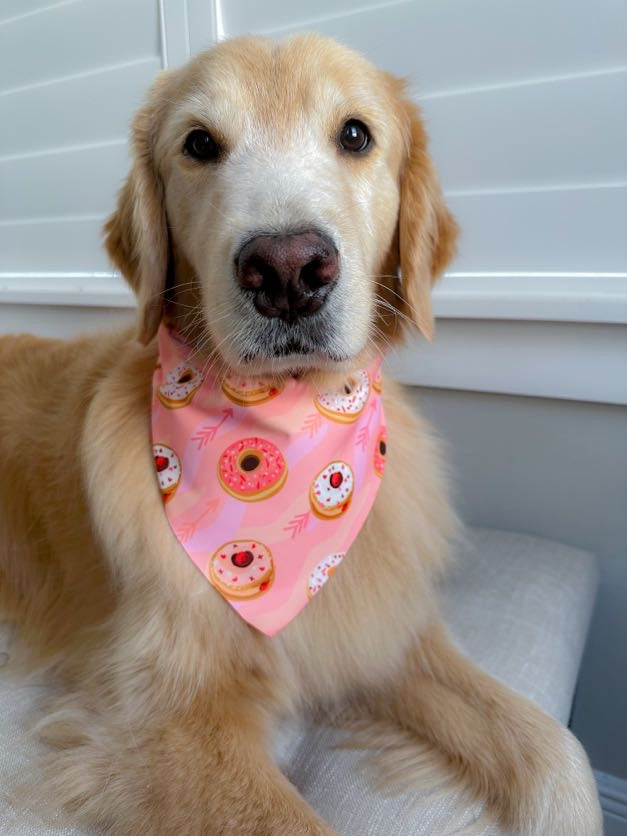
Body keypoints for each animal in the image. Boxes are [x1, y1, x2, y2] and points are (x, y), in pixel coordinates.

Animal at [0, 34, 604, 836]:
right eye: (199, 144)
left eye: (355, 134)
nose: (287, 270)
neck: (288, 424)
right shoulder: (158, 721)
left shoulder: (380, 628)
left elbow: (556, 754)